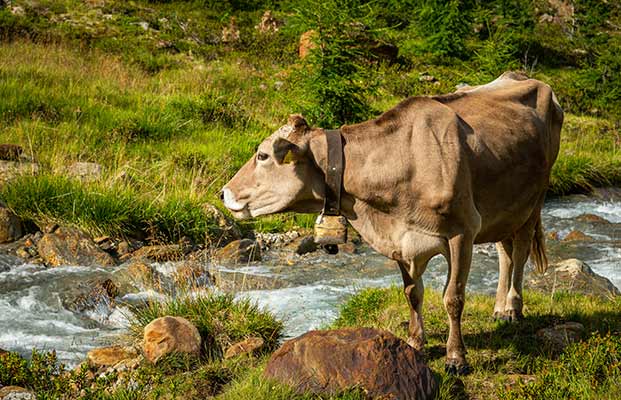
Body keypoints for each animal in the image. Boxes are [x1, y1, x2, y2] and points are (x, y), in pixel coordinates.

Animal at [222, 72, 560, 376]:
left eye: (262, 155)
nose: (224, 192)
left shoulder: (462, 231)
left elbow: (453, 297)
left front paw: (456, 358)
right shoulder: (400, 238)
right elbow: (412, 293)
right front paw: (415, 343)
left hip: (534, 200)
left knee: (520, 252)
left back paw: (513, 308)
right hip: (503, 208)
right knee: (505, 252)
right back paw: (499, 309)